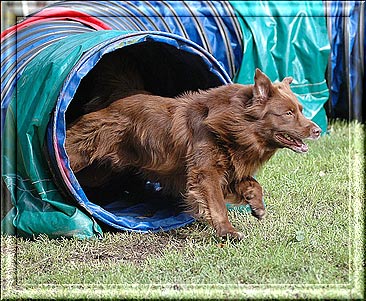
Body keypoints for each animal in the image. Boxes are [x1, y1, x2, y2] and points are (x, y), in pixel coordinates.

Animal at [66, 68, 320, 239]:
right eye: (288, 113)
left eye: (301, 110)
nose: (317, 130)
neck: (234, 127)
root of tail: (118, 97)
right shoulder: (205, 173)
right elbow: (217, 204)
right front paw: (228, 232)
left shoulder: (227, 169)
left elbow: (253, 183)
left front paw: (256, 206)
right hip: (85, 155)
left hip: (102, 170)